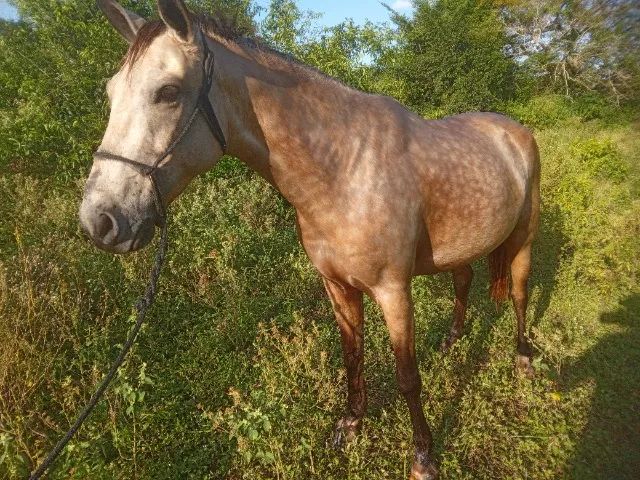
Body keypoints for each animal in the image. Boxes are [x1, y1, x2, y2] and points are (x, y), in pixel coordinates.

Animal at [79, 1, 540, 478]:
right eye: (111, 94)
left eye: (168, 91)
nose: (100, 220)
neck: (345, 168)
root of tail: (513, 130)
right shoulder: (337, 286)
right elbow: (352, 355)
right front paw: (350, 425)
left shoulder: (393, 291)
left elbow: (408, 377)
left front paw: (423, 457)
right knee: (464, 279)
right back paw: (452, 340)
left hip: (524, 239)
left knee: (520, 293)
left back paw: (524, 357)